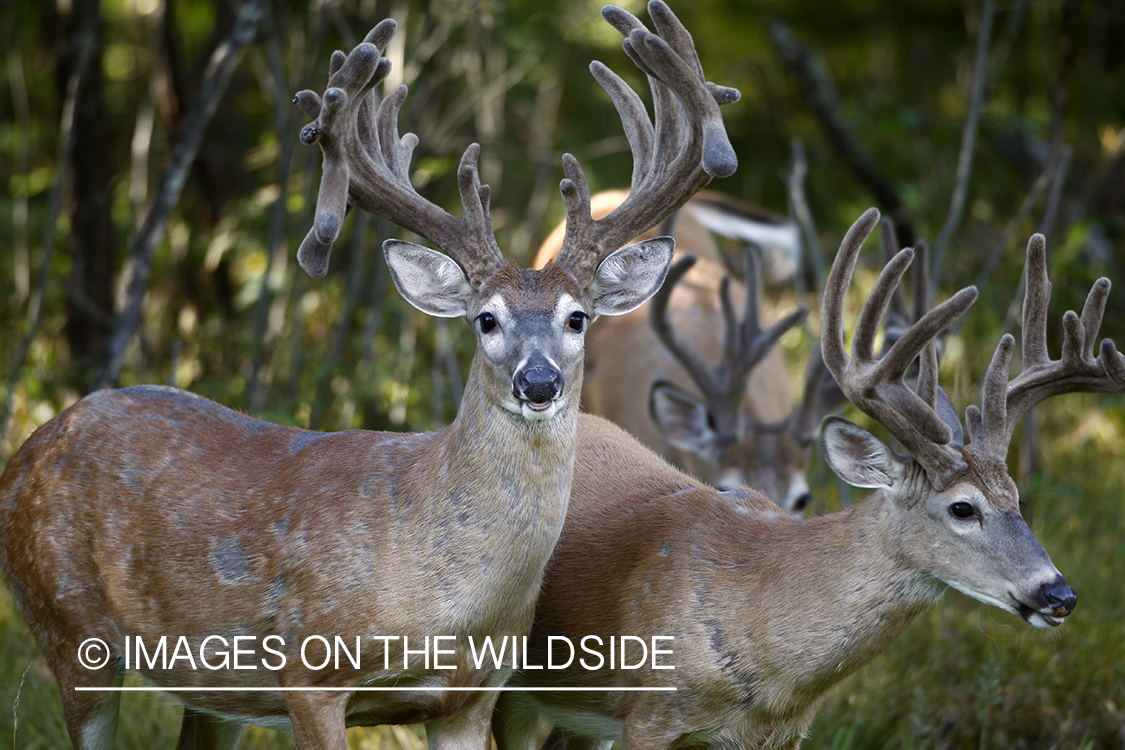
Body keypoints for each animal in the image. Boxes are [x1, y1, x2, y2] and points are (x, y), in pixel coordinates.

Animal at [0, 2, 738, 746]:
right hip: (69, 627)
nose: (538, 383)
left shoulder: (473, 697)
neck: (444, 597)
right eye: (486, 319)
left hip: (208, 689)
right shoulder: (309, 672)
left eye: (578, 317)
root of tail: (30, 446)